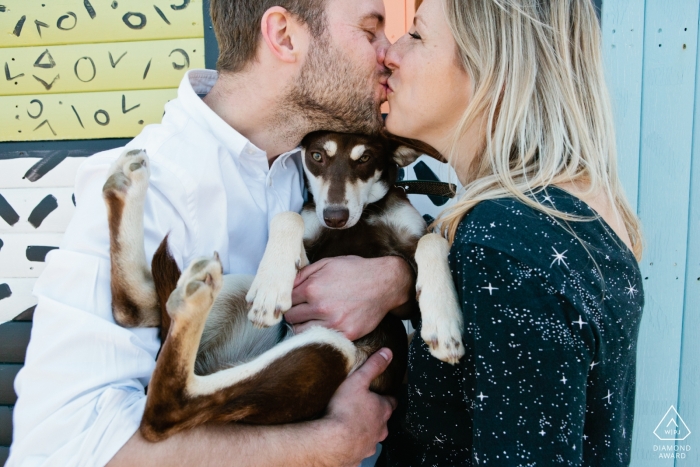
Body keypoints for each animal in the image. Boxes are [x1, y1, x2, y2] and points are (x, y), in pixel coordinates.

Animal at [102, 131, 464, 442]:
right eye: (316, 156)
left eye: (365, 158)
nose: (335, 215)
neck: (365, 214)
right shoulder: (309, 254)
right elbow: (289, 217)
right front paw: (272, 285)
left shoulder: (406, 286)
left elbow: (432, 240)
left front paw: (444, 324)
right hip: (268, 310)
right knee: (144, 331)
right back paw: (127, 185)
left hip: (327, 350)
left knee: (162, 397)